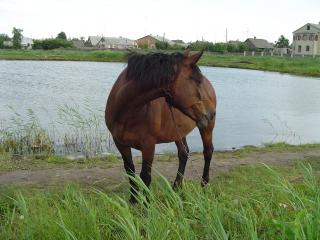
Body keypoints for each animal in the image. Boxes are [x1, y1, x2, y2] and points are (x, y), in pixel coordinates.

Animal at [106, 50, 216, 202]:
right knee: (183, 154)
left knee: (208, 152)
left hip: (206, 127)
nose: (211, 113)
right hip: (178, 132)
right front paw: (133, 201)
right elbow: (130, 172)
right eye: (197, 81)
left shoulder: (148, 145)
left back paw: (203, 185)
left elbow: (146, 177)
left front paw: (146, 206)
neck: (126, 111)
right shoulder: (120, 143)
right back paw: (176, 188)